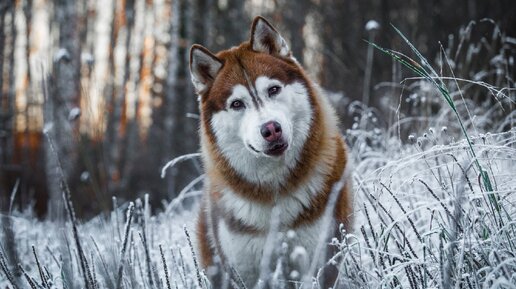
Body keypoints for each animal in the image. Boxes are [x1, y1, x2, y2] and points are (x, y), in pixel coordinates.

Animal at [190, 16, 354, 288]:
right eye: (237, 104)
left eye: (273, 90)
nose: (271, 129)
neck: (275, 192)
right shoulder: (244, 272)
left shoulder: (316, 262)